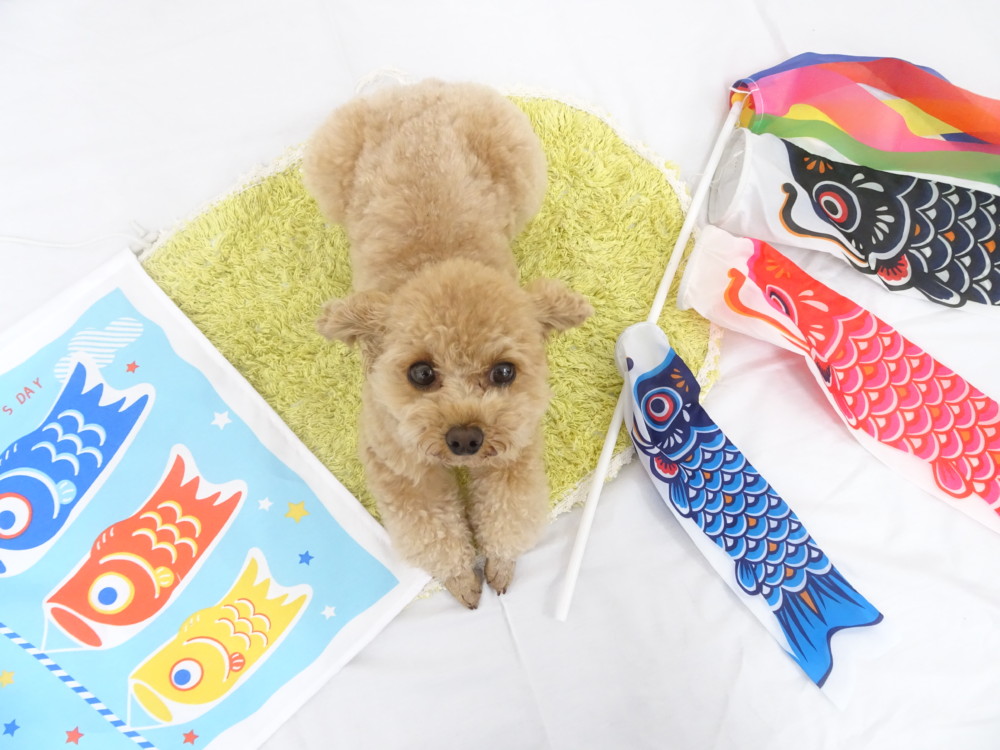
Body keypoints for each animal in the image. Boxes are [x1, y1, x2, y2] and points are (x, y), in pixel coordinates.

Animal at [303, 80, 592, 608]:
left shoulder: (513, 451)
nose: (464, 438)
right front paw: (460, 578)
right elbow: (431, 529)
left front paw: (499, 564)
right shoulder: (399, 462)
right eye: (420, 373)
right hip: (330, 164)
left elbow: (507, 513)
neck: (438, 262)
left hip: (521, 164)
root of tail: (415, 93)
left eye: (504, 372)